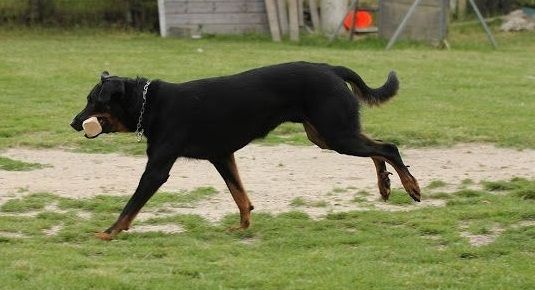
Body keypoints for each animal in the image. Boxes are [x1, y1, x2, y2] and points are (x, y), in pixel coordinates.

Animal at [71, 61, 422, 240]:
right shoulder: (222, 156)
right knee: (378, 148)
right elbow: (240, 196)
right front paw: (242, 226)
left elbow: (130, 206)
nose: (74, 123)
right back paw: (385, 184)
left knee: (388, 147)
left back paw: (411, 186)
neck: (150, 103)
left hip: (336, 135)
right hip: (327, 134)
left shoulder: (157, 169)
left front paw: (108, 232)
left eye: (94, 100)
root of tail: (331, 68)